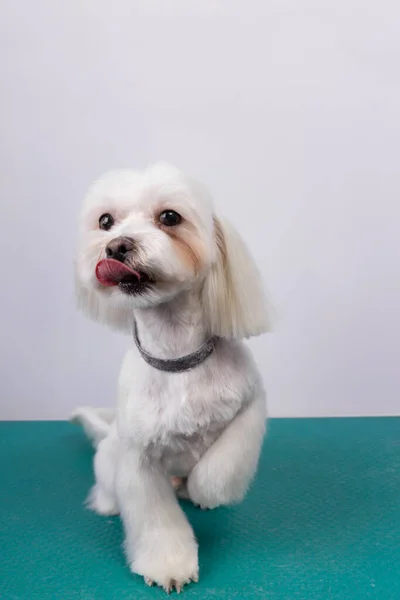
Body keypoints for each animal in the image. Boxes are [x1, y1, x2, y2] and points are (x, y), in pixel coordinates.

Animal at [71, 163, 270, 592]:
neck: (178, 360)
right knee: (106, 484)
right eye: (106, 221)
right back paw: (108, 504)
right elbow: (155, 520)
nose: (116, 247)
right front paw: (169, 566)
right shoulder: (138, 460)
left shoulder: (252, 407)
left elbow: (219, 467)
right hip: (110, 456)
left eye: (169, 217)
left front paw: (206, 491)